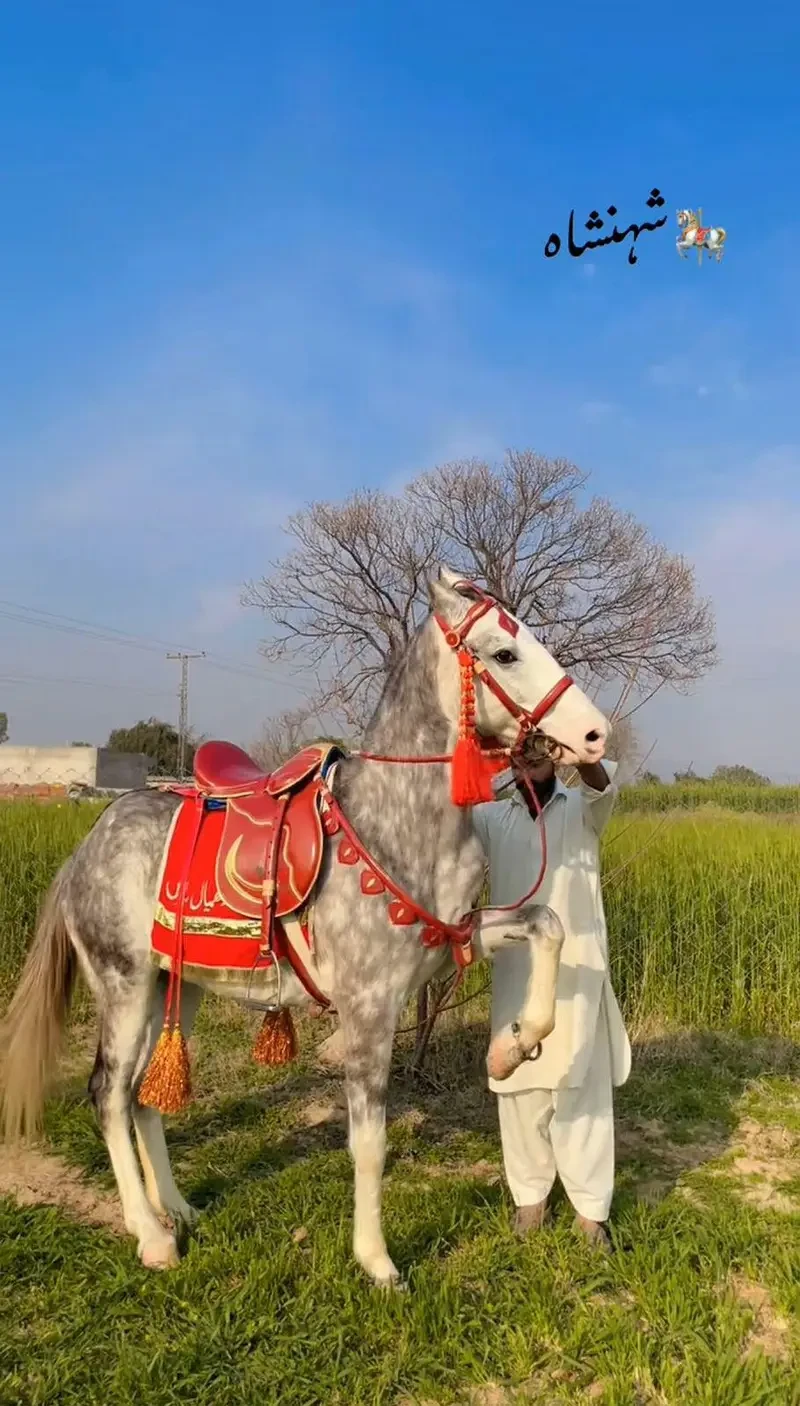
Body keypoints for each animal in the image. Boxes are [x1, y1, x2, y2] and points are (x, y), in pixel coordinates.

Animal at [0, 567, 608, 1288]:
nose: (596, 735)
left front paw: (511, 1049)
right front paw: (377, 1262)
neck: (396, 823)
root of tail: (82, 853)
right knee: (108, 1094)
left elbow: (548, 925)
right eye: (504, 652)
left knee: (145, 1096)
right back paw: (150, 1236)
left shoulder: (453, 939)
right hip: (122, 986)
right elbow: (369, 1143)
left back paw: (178, 1210)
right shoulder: (370, 1005)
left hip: (178, 987)